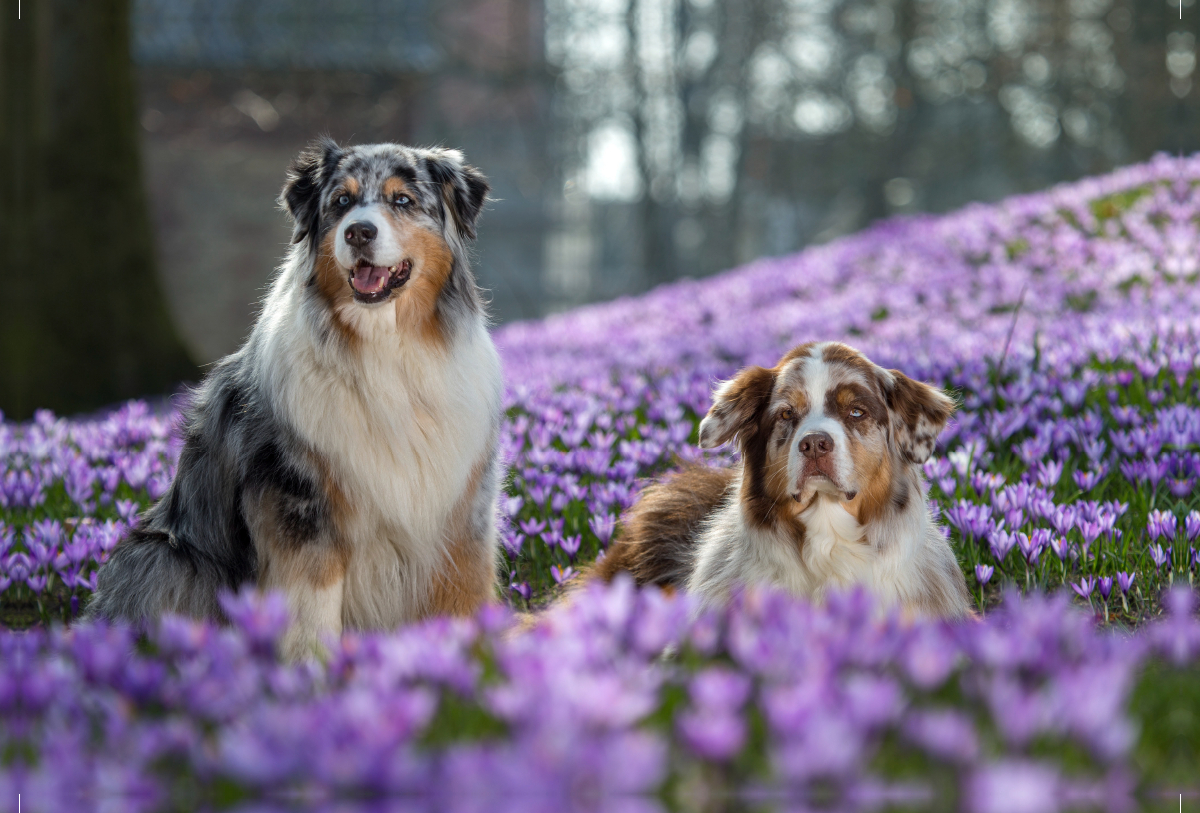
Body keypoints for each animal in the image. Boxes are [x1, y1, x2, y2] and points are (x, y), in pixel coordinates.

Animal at [87, 140, 501, 661]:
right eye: (341, 202)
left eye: (402, 200)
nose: (359, 231)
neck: (385, 347)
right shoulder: (300, 507)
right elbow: (310, 614)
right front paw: (310, 675)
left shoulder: (463, 512)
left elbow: (465, 596)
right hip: (166, 556)